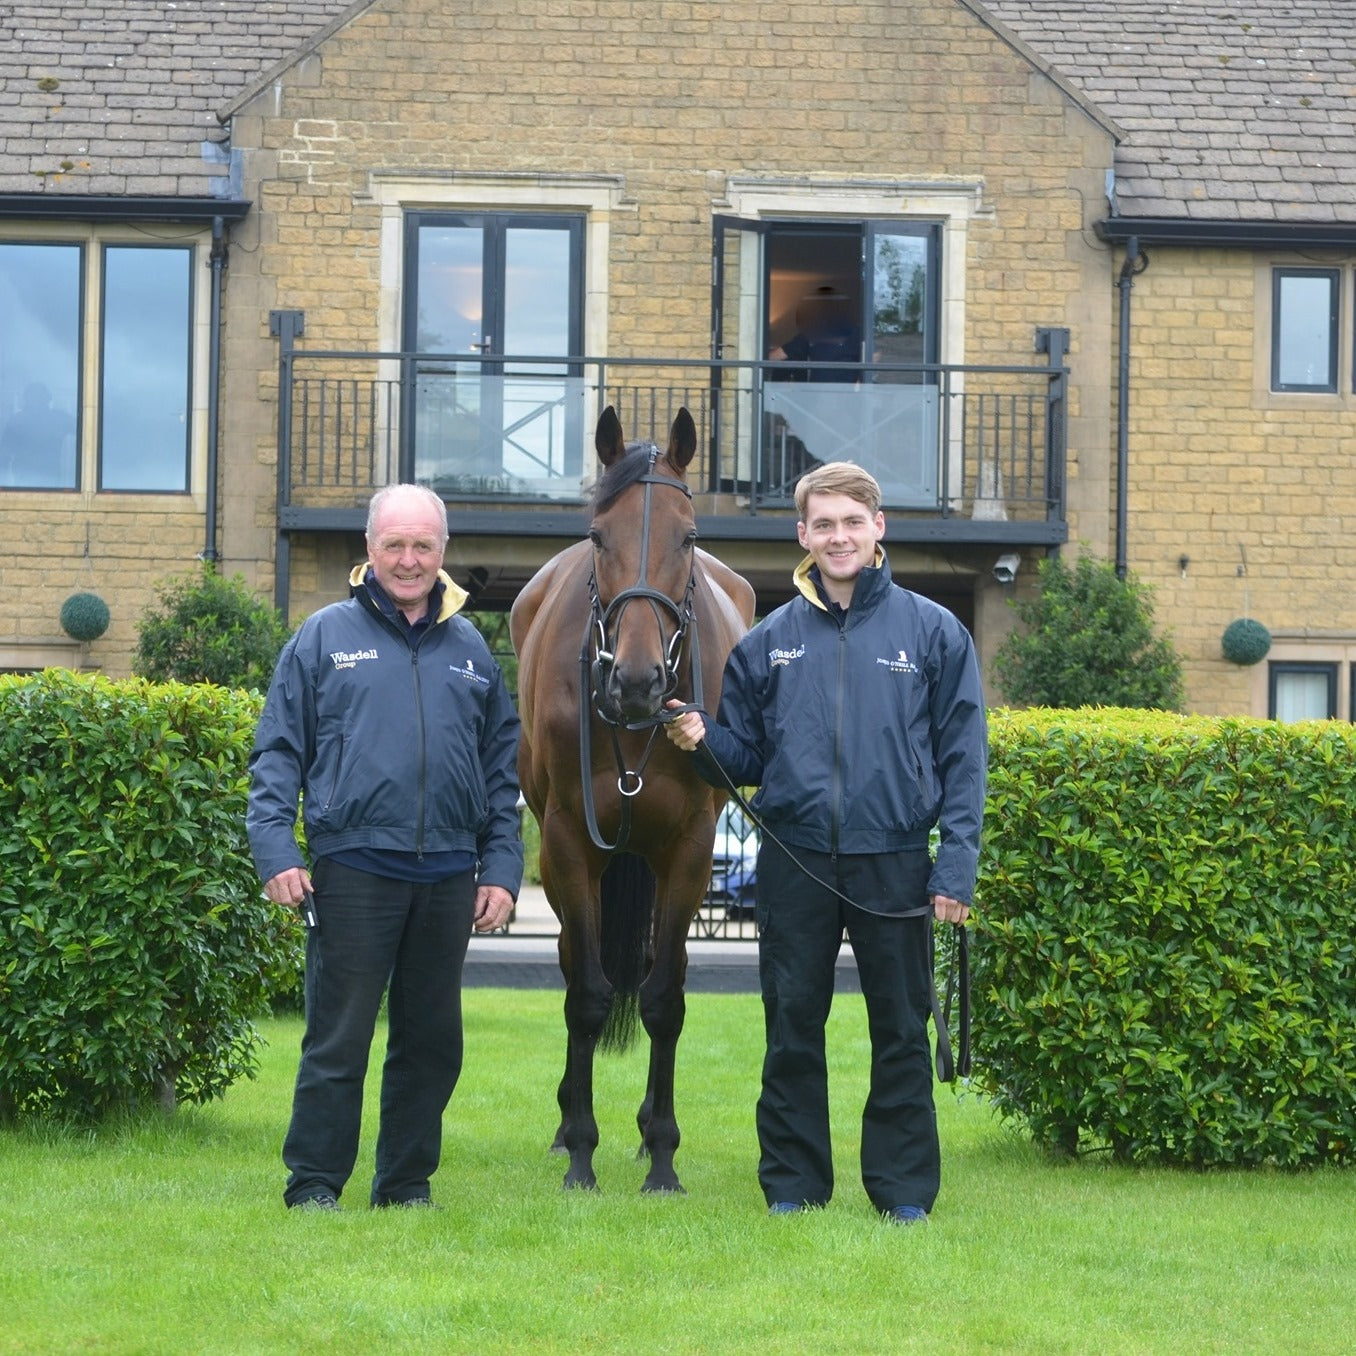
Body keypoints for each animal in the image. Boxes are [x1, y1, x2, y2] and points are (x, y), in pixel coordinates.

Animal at [509, 406, 759, 1193]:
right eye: (599, 536)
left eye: (689, 535)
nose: (640, 682)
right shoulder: (567, 842)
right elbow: (587, 996)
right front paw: (581, 1155)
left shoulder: (689, 851)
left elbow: (664, 1000)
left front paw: (663, 1157)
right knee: (571, 963)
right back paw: (567, 1124)